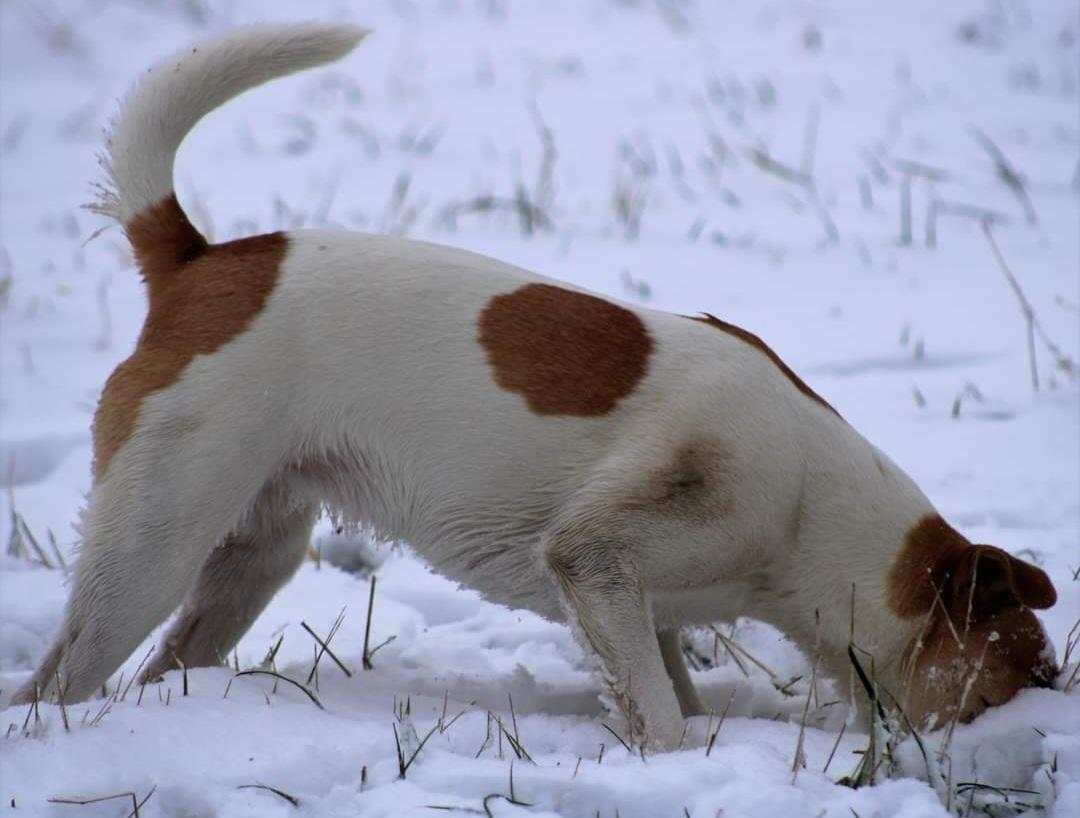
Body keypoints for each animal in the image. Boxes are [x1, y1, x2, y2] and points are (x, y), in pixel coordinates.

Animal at [12, 20, 1058, 747]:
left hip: (247, 558)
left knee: (164, 662)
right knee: (57, 679)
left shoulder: (641, 609)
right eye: (1025, 670)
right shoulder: (600, 556)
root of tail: (199, 260)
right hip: (152, 544)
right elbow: (661, 714)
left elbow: (662, 686)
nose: (1046, 721)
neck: (810, 501)